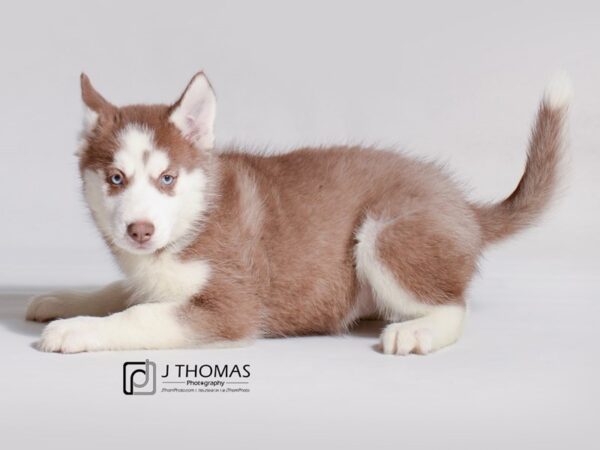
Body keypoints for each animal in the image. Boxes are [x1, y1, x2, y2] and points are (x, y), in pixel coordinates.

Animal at [27, 73, 572, 356]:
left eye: (167, 179)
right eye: (116, 178)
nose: (140, 231)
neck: (193, 218)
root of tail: (463, 205)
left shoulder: (234, 306)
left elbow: (140, 314)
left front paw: (77, 329)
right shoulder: (152, 275)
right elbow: (122, 291)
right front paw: (62, 300)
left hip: (385, 233)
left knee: (454, 307)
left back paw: (417, 331)